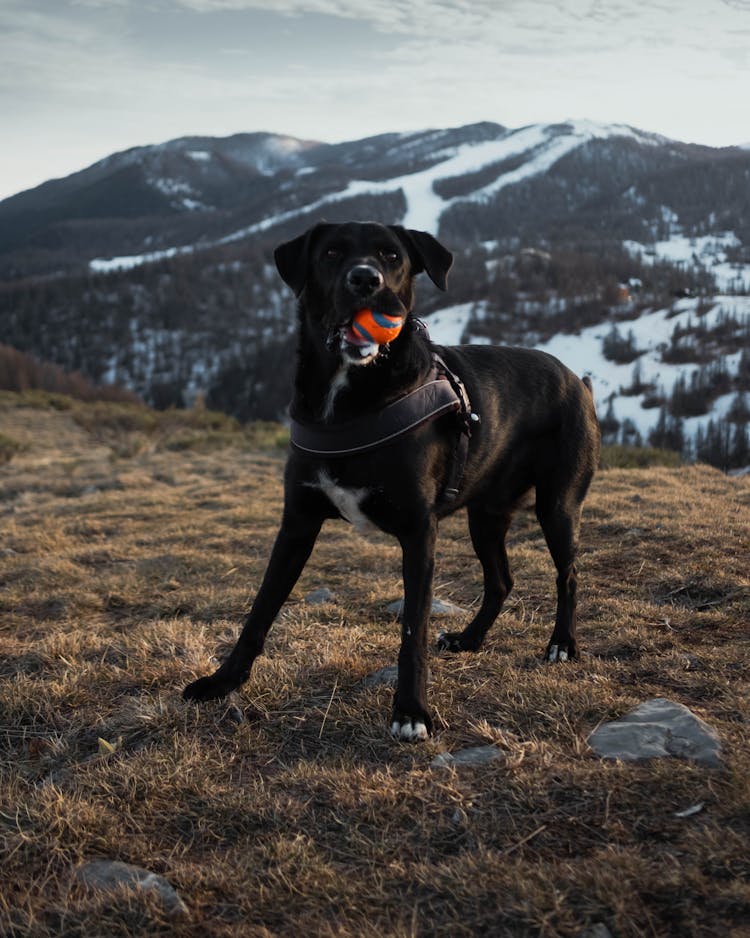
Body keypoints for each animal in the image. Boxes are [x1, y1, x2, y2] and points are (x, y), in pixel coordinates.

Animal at [185, 221, 604, 740]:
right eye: (331, 253)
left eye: (392, 256)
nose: (366, 280)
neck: (351, 394)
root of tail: (578, 380)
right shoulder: (297, 522)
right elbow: (260, 610)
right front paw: (223, 681)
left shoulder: (419, 533)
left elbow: (412, 631)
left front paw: (410, 712)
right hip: (485, 516)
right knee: (501, 580)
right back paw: (469, 639)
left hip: (558, 504)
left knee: (568, 574)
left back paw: (562, 643)